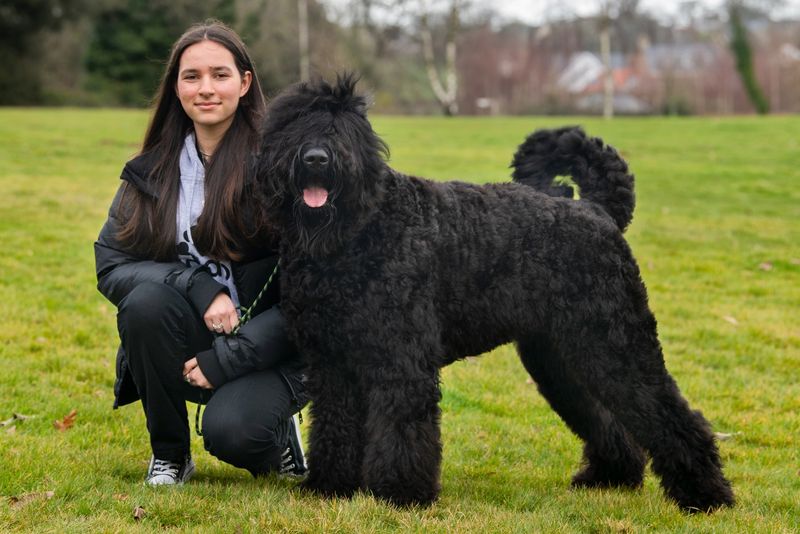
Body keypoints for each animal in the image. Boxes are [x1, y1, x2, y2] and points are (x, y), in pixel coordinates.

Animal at [258, 75, 736, 516]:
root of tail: (597, 209)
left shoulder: (401, 360)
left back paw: (705, 495)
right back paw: (610, 476)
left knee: (671, 413)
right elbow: (334, 427)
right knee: (606, 416)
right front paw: (329, 486)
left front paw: (401, 494)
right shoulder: (332, 364)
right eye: (293, 124)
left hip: (616, 344)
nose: (316, 158)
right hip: (562, 359)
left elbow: (401, 428)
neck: (357, 232)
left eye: (344, 128)